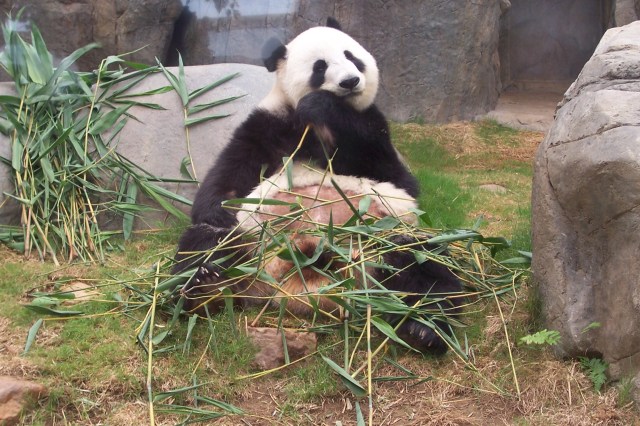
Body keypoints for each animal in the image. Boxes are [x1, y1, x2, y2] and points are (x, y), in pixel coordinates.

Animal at [172, 18, 463, 355]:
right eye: (320, 66)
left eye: (351, 56)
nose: (351, 81)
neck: (311, 125)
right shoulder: (268, 123)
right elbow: (230, 176)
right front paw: (218, 210)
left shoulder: (375, 131)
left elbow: (397, 178)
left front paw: (322, 105)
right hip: (252, 242)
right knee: (206, 246)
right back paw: (204, 285)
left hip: (383, 236)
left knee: (422, 266)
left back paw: (425, 330)